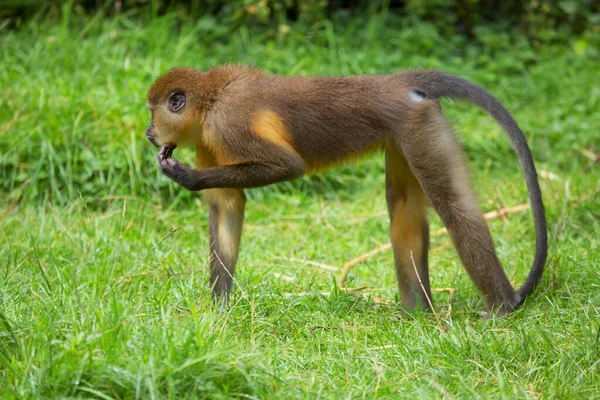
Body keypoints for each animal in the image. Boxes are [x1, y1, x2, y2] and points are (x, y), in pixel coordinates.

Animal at [145, 65, 548, 316]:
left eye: (154, 112)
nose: (149, 132)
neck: (210, 98)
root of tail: (393, 83)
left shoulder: (226, 124)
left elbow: (288, 166)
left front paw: (185, 177)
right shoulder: (207, 139)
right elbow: (227, 204)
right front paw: (218, 312)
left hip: (416, 124)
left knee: (455, 208)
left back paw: (501, 308)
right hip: (408, 128)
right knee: (404, 208)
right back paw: (417, 313)